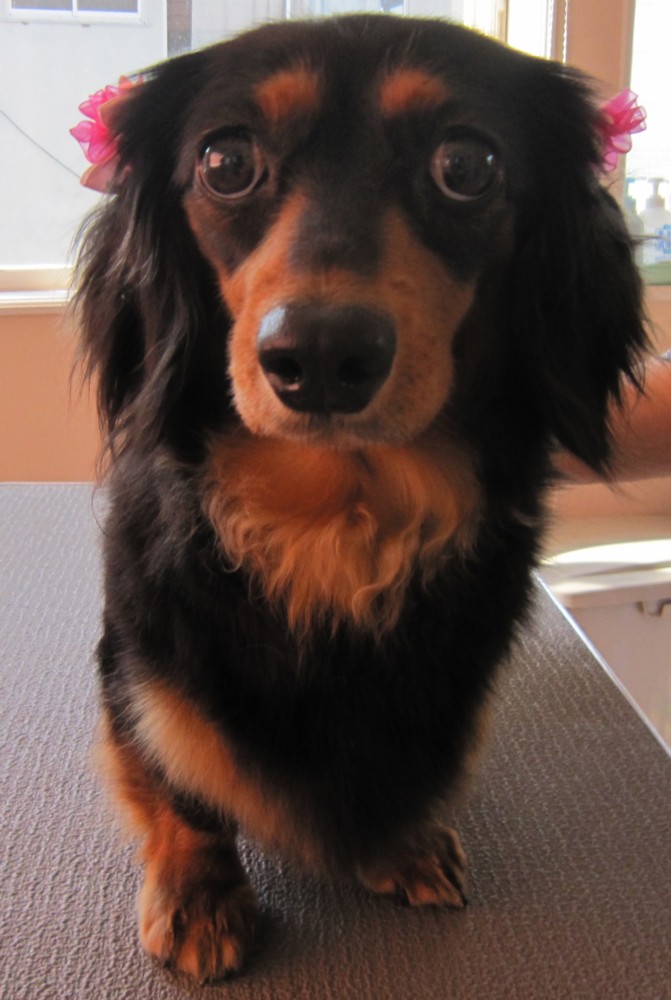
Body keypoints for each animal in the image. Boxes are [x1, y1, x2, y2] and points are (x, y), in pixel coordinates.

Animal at [74, 14, 647, 983]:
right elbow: (176, 762)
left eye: (468, 165)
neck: (336, 521)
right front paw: (200, 888)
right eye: (227, 161)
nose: (318, 355)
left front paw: (403, 837)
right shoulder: (143, 654)